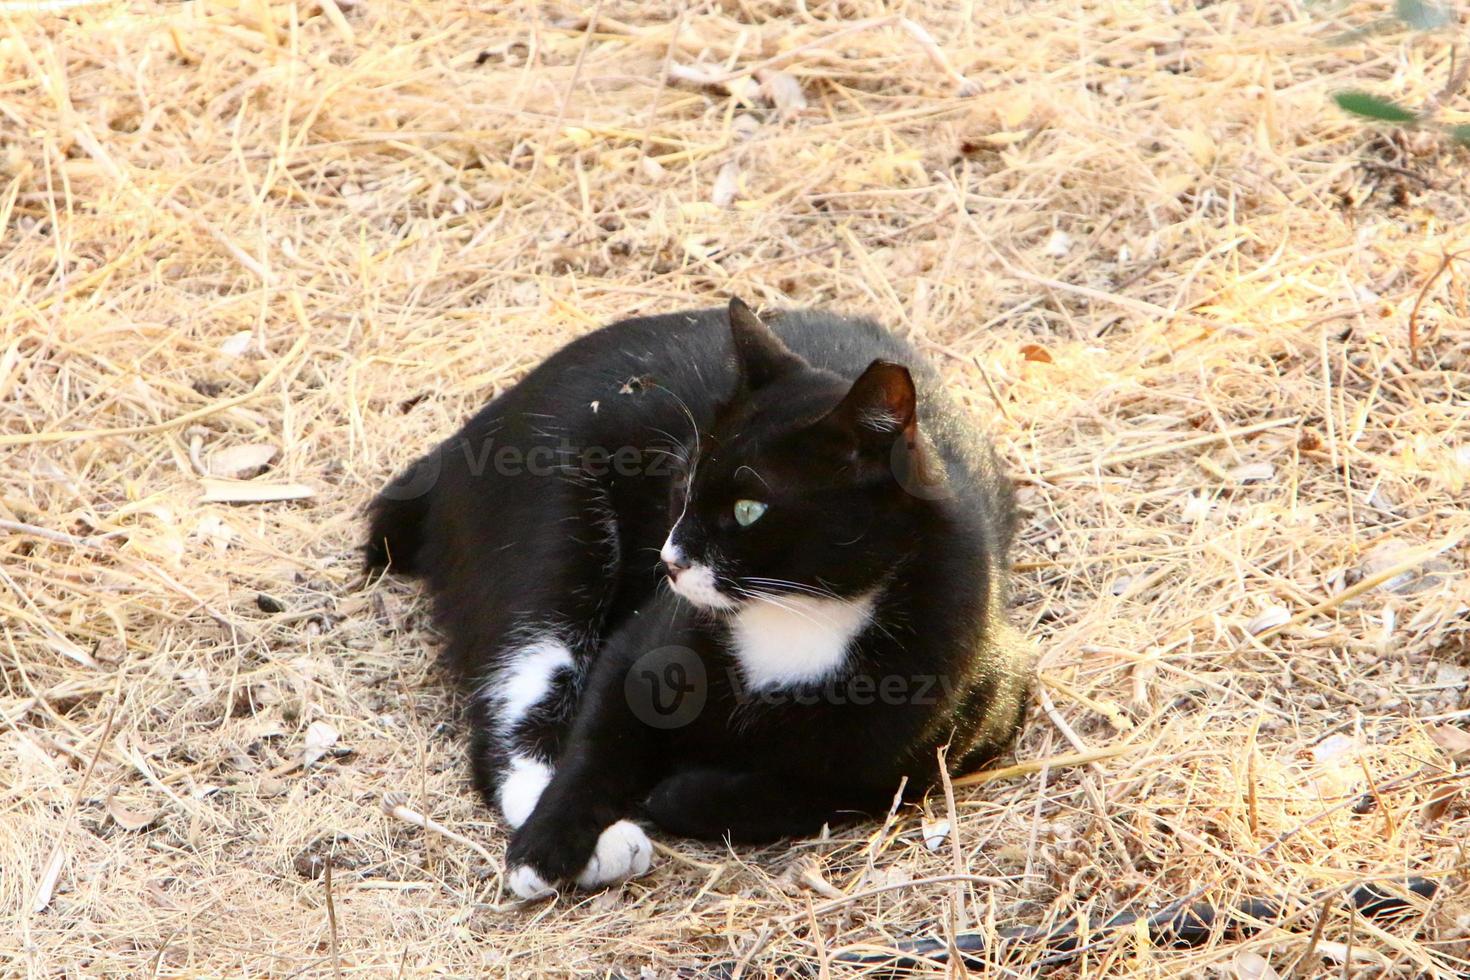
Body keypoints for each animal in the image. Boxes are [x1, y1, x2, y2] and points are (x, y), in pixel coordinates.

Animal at [367, 296, 1034, 899]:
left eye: (748, 510)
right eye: (683, 479)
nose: (668, 560)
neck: (802, 614)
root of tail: (464, 436)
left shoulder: (984, 708)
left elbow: (842, 785)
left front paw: (680, 789)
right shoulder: (644, 644)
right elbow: (600, 741)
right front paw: (547, 847)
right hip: (550, 524)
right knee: (519, 686)